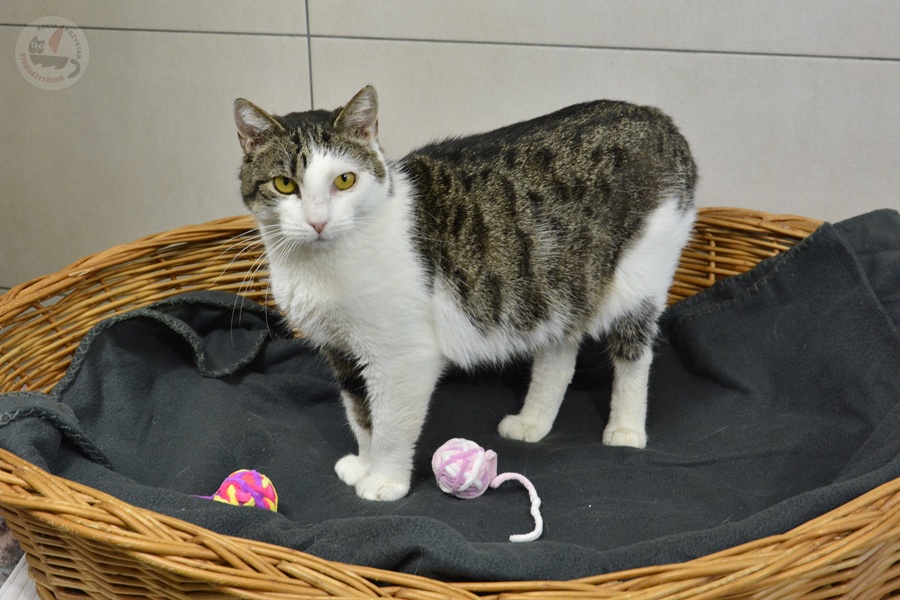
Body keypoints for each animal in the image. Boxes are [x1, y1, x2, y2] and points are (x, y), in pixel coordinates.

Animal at [233, 86, 697, 501]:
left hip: (639, 278)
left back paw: (626, 429)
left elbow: (389, 425)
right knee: (559, 357)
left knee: (635, 354)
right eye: (284, 184)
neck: (318, 266)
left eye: (344, 180)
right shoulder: (341, 351)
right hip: (557, 288)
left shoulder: (402, 358)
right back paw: (532, 422)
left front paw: (385, 480)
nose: (318, 221)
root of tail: (654, 116)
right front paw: (364, 464)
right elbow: (361, 416)